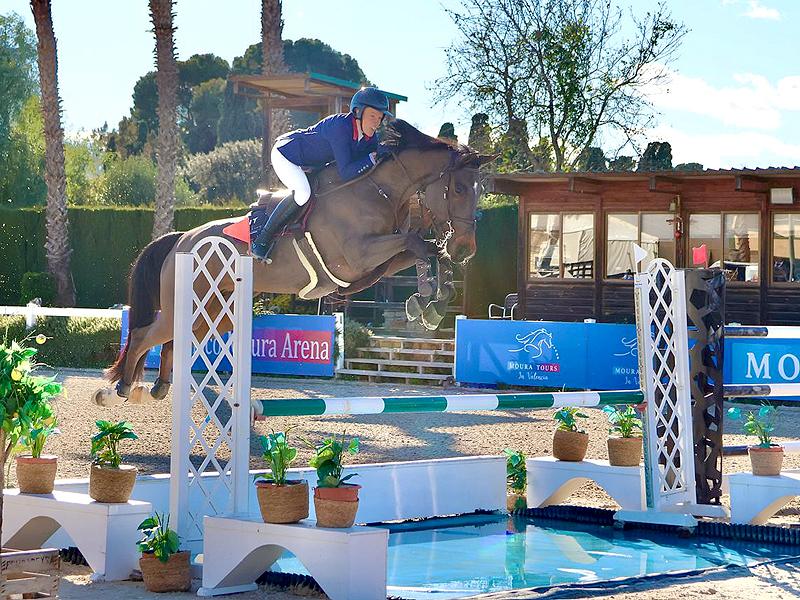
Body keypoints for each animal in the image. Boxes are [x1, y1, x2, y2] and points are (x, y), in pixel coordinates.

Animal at [93, 120, 491, 407]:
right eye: (458, 189)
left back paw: (160, 385)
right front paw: (425, 302)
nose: (466, 248)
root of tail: (181, 240)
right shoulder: (358, 255)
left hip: (214, 312)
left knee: (173, 338)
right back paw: (119, 389)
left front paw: (430, 305)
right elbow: (418, 244)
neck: (379, 190)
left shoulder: (383, 258)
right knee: (144, 334)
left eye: (481, 191)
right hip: (193, 304)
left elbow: (428, 252)